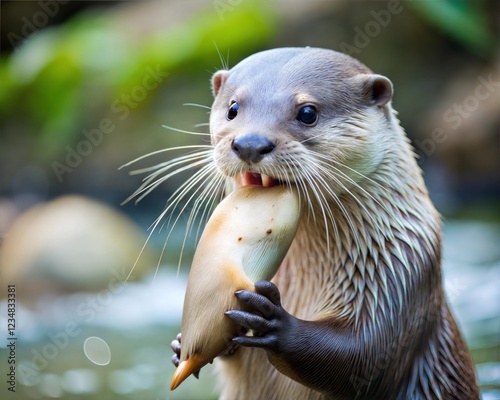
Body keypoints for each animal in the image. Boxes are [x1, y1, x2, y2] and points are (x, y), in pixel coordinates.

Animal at [170, 49, 478, 400]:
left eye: (307, 112)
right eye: (232, 108)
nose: (249, 143)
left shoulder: (402, 271)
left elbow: (363, 353)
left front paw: (274, 320)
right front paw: (179, 345)